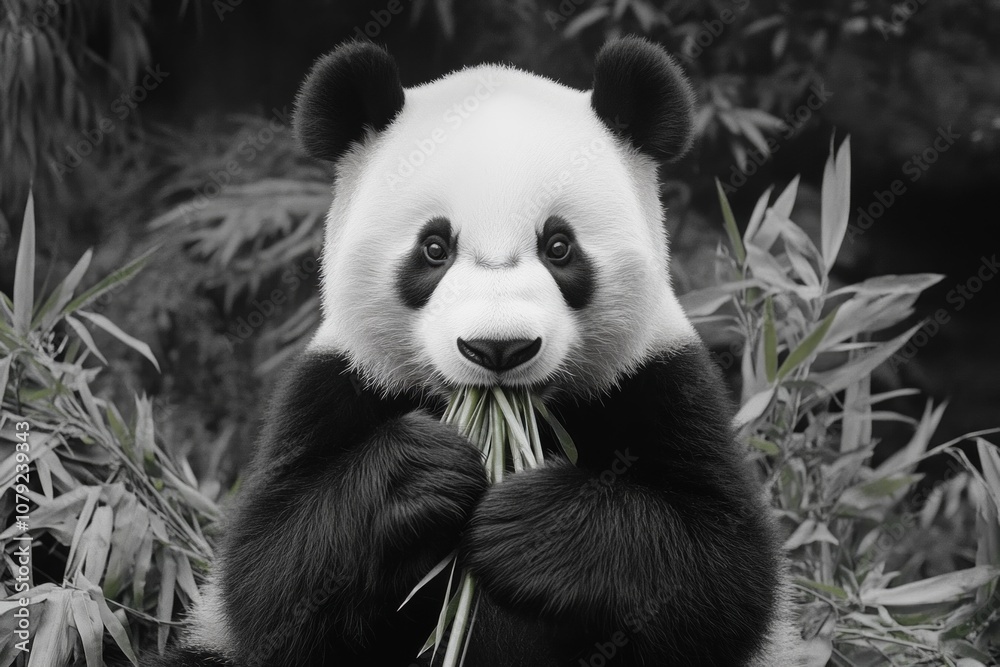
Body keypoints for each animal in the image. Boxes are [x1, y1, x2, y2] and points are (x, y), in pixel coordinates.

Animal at [148, 37, 804, 667]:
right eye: (434, 248)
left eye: (559, 246)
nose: (498, 348)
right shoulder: (337, 383)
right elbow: (268, 575)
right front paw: (419, 472)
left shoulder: (657, 379)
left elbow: (724, 570)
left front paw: (532, 526)